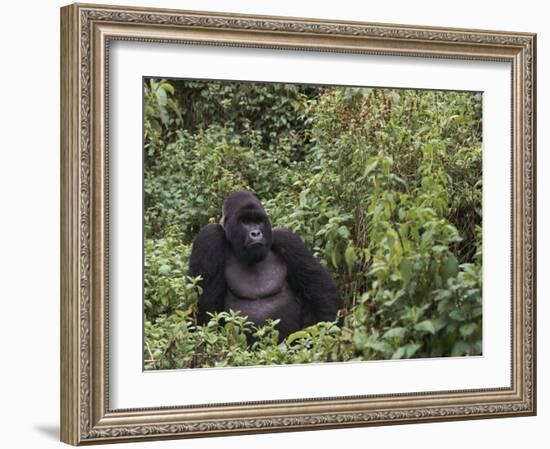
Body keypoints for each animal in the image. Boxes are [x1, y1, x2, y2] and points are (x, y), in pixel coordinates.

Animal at [192, 189, 342, 340]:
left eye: (258, 221)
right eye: (245, 222)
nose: (256, 233)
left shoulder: (287, 239)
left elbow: (319, 290)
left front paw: (327, 333)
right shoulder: (209, 237)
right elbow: (208, 308)